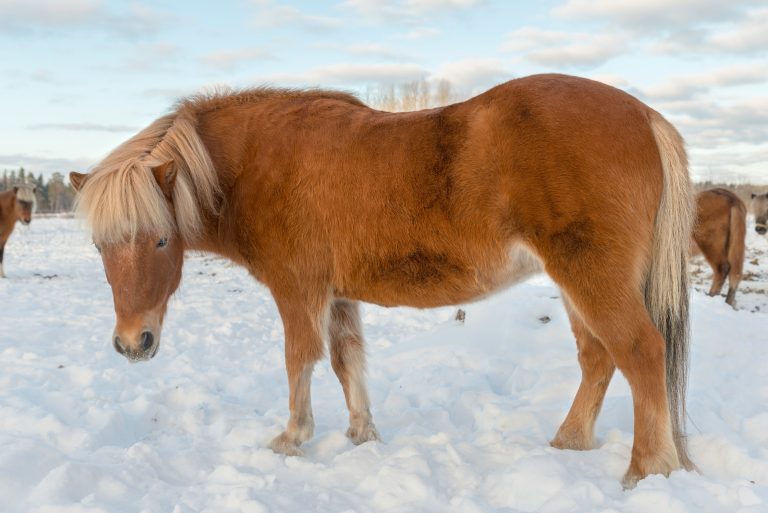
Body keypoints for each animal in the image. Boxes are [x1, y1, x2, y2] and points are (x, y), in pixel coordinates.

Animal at [69, 74, 696, 486]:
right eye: (101, 245)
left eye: (159, 239)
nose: (132, 343)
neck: (256, 164)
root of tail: (644, 115)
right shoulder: (338, 295)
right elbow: (347, 359)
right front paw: (362, 435)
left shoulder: (298, 291)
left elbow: (300, 359)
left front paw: (292, 439)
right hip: (575, 285)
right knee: (599, 357)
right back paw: (570, 442)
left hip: (591, 277)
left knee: (639, 352)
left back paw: (646, 471)